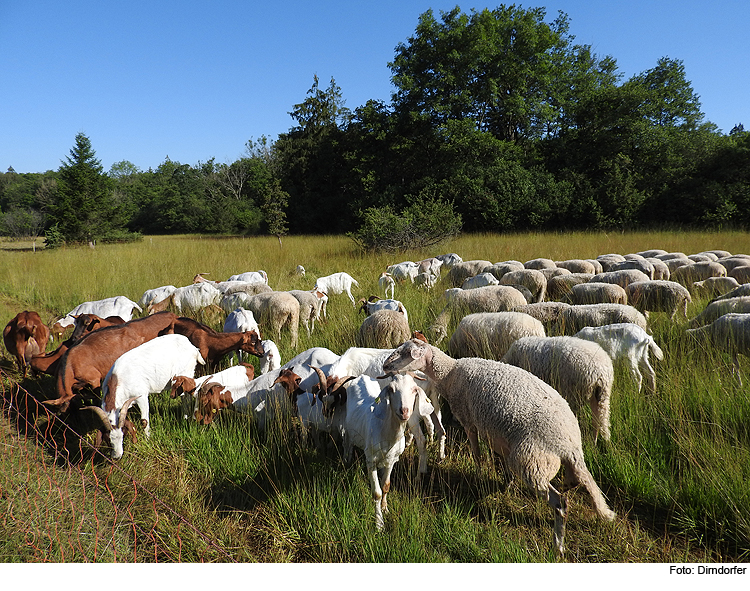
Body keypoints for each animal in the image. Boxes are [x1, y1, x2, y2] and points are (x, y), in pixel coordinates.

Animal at [382, 338, 616, 556]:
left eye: (406, 353)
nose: (385, 366)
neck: (450, 373)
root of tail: (570, 445)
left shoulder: (469, 421)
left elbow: (477, 454)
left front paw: (478, 476)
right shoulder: (499, 436)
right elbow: (502, 461)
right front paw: (507, 484)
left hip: (531, 461)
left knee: (561, 503)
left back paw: (558, 545)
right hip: (549, 461)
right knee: (574, 482)